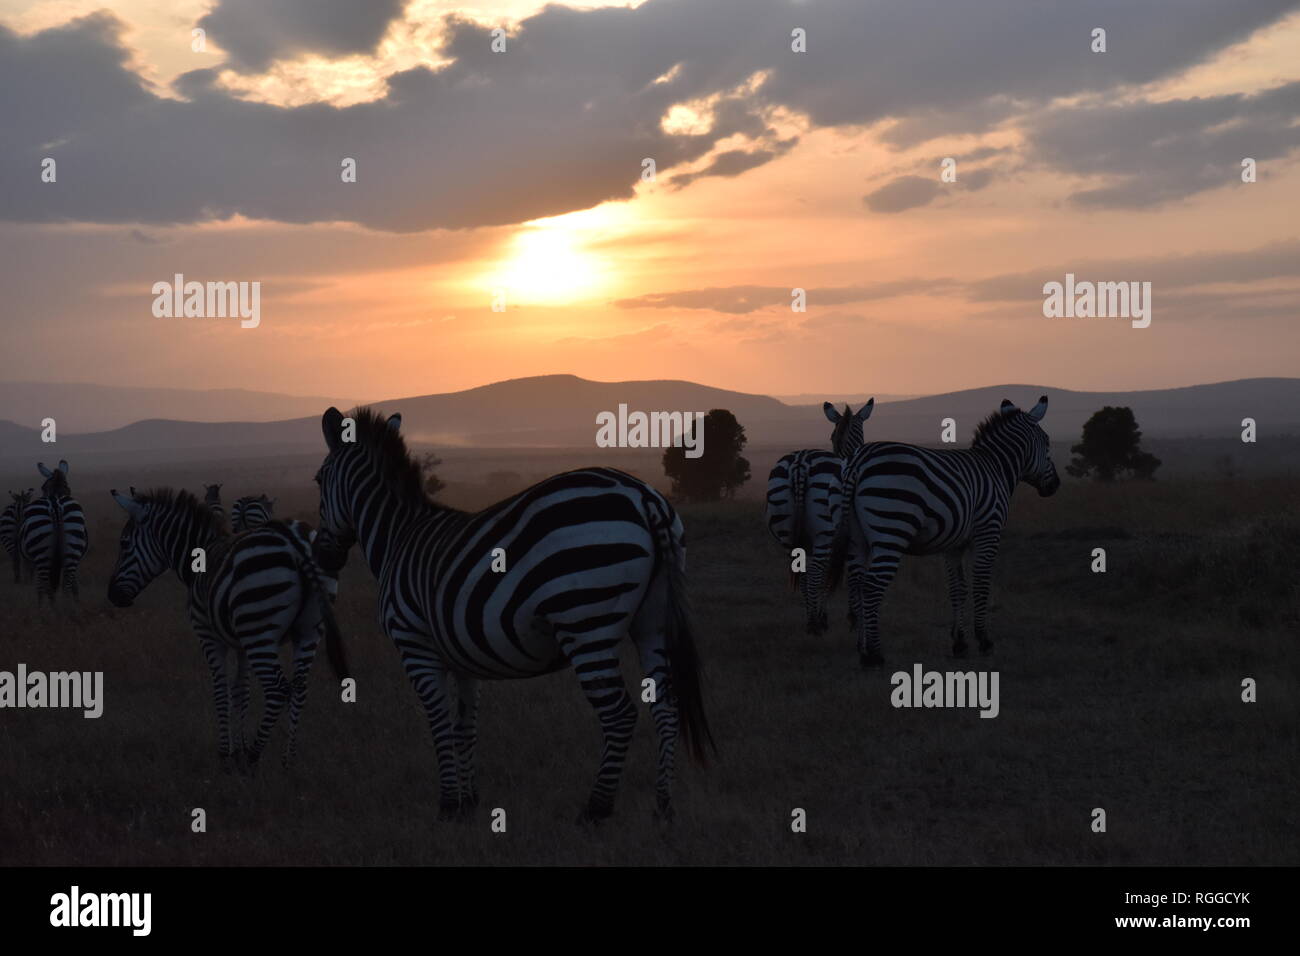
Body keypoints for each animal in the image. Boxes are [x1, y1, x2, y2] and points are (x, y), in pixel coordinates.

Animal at [20, 460, 89, 600]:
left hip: (42, 555)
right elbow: (74, 586)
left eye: (43, 488)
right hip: (72, 550)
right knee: (65, 589)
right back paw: (65, 605)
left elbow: (41, 589)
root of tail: (56, 505)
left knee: (46, 588)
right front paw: (76, 601)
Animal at [107, 489, 348, 775]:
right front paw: (239, 750)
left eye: (124, 544)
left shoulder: (209, 636)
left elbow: (221, 690)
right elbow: (241, 691)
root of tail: (294, 540)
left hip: (260, 630)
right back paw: (287, 762)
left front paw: (227, 754)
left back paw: (255, 757)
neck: (199, 557)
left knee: (277, 689)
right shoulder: (241, 644)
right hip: (308, 631)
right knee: (299, 688)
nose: (112, 595)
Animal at [315, 405, 722, 822]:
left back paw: (595, 810)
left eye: (318, 480)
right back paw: (663, 808)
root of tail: (643, 496)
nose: (322, 556)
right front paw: (469, 803)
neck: (398, 537)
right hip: (653, 621)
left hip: (585, 623)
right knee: (665, 707)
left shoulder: (415, 646)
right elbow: (464, 728)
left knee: (620, 714)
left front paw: (448, 805)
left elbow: (440, 724)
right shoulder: (461, 656)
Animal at [764, 400, 878, 632]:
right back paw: (814, 625)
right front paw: (851, 616)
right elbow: (840, 575)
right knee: (816, 571)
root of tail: (800, 463)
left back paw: (810, 622)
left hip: (786, 530)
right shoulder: (844, 540)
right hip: (824, 531)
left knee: (801, 569)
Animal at [837, 395, 1060, 665]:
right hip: (892, 530)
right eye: (1047, 442)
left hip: (857, 537)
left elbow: (957, 589)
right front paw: (984, 640)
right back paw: (875, 655)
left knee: (857, 583)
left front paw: (959, 643)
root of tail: (858, 461)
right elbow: (981, 584)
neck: (996, 467)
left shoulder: (954, 544)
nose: (1056, 485)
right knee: (871, 586)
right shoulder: (988, 532)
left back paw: (862, 650)